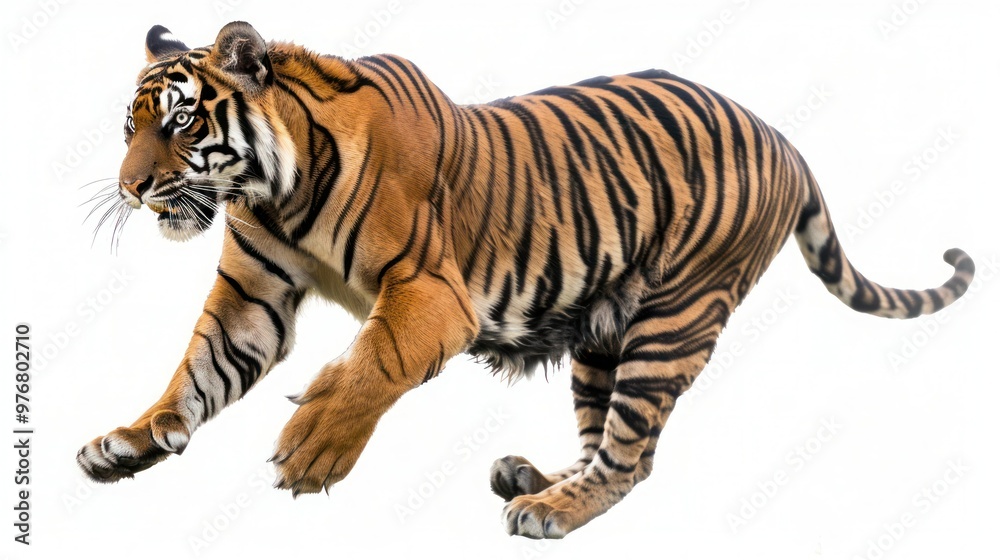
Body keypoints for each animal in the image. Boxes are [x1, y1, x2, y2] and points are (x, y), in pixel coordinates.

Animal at [77, 21, 975, 539]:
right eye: (129, 127)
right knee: (609, 440)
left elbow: (375, 363)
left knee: (631, 456)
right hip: (604, 331)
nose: (131, 188)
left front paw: (314, 448)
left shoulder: (433, 296)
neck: (277, 190)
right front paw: (130, 442)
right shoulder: (253, 295)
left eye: (182, 122)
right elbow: (197, 371)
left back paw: (548, 510)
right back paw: (536, 478)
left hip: (676, 317)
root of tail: (784, 136)